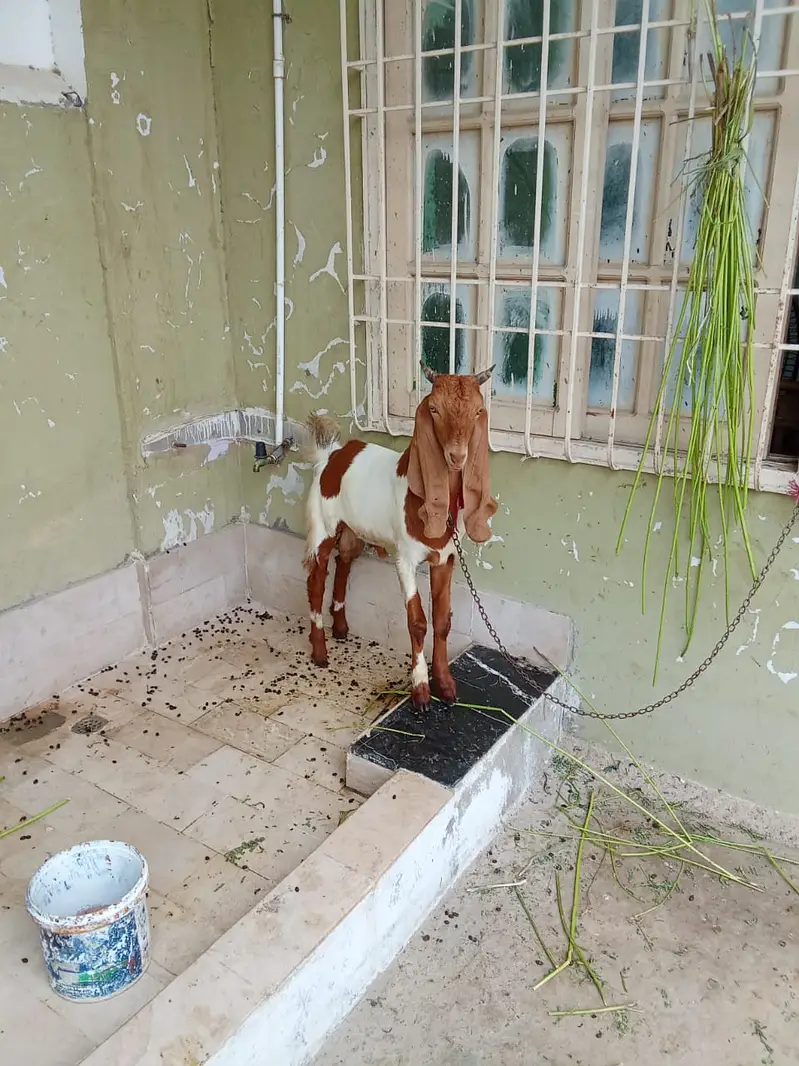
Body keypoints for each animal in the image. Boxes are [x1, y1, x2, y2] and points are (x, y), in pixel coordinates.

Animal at [303, 364, 497, 710]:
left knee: (345, 560)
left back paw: (340, 628)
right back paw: (320, 651)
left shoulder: (445, 557)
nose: (457, 456)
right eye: (434, 408)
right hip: (324, 526)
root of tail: (331, 457)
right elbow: (417, 621)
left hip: (353, 530)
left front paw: (446, 685)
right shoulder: (405, 559)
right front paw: (420, 690)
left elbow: (443, 620)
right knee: (316, 577)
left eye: (478, 410)